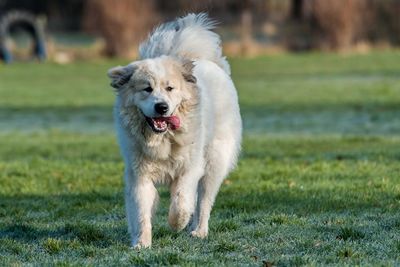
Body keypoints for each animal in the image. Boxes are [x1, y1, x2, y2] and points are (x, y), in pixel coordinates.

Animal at [106, 13, 242, 249]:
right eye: (147, 89)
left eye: (170, 88)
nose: (162, 107)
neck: (163, 140)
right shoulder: (139, 175)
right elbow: (141, 212)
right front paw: (141, 243)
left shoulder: (189, 169)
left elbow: (180, 202)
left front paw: (177, 224)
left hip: (214, 163)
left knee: (204, 201)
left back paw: (198, 231)